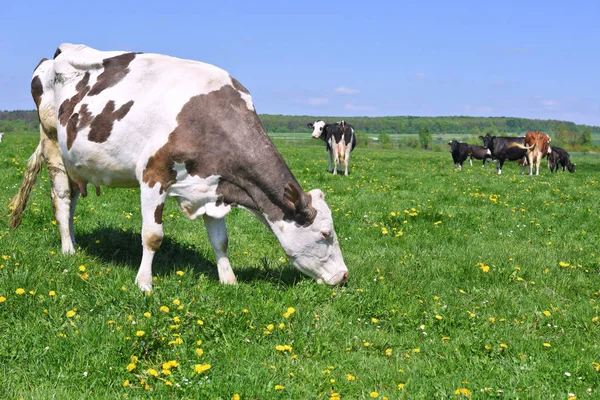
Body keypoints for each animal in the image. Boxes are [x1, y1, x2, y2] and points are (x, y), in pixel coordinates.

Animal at [9, 43, 350, 290]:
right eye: (325, 234)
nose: (345, 276)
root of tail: (58, 53)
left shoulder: (214, 186)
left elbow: (220, 240)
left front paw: (229, 280)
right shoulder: (153, 175)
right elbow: (152, 235)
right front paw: (144, 284)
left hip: (76, 162)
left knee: (74, 199)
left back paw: (76, 242)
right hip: (52, 143)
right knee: (62, 200)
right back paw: (68, 249)